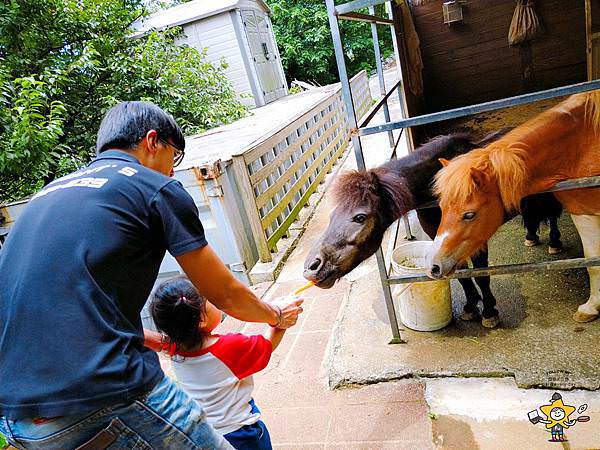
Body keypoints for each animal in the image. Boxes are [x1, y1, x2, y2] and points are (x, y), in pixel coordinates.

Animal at [304, 131, 564, 326]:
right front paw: (470, 307)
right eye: (332, 215)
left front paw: (490, 312)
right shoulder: (442, 240)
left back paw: (554, 243)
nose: (311, 267)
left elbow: (481, 276)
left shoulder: (475, 238)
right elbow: (461, 276)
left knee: (552, 215)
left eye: (359, 217)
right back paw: (531, 236)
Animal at [426, 92, 600, 324]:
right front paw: (591, 308)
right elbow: (592, 262)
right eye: (442, 208)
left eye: (469, 214)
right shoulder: (582, 212)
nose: (433, 266)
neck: (581, 144)